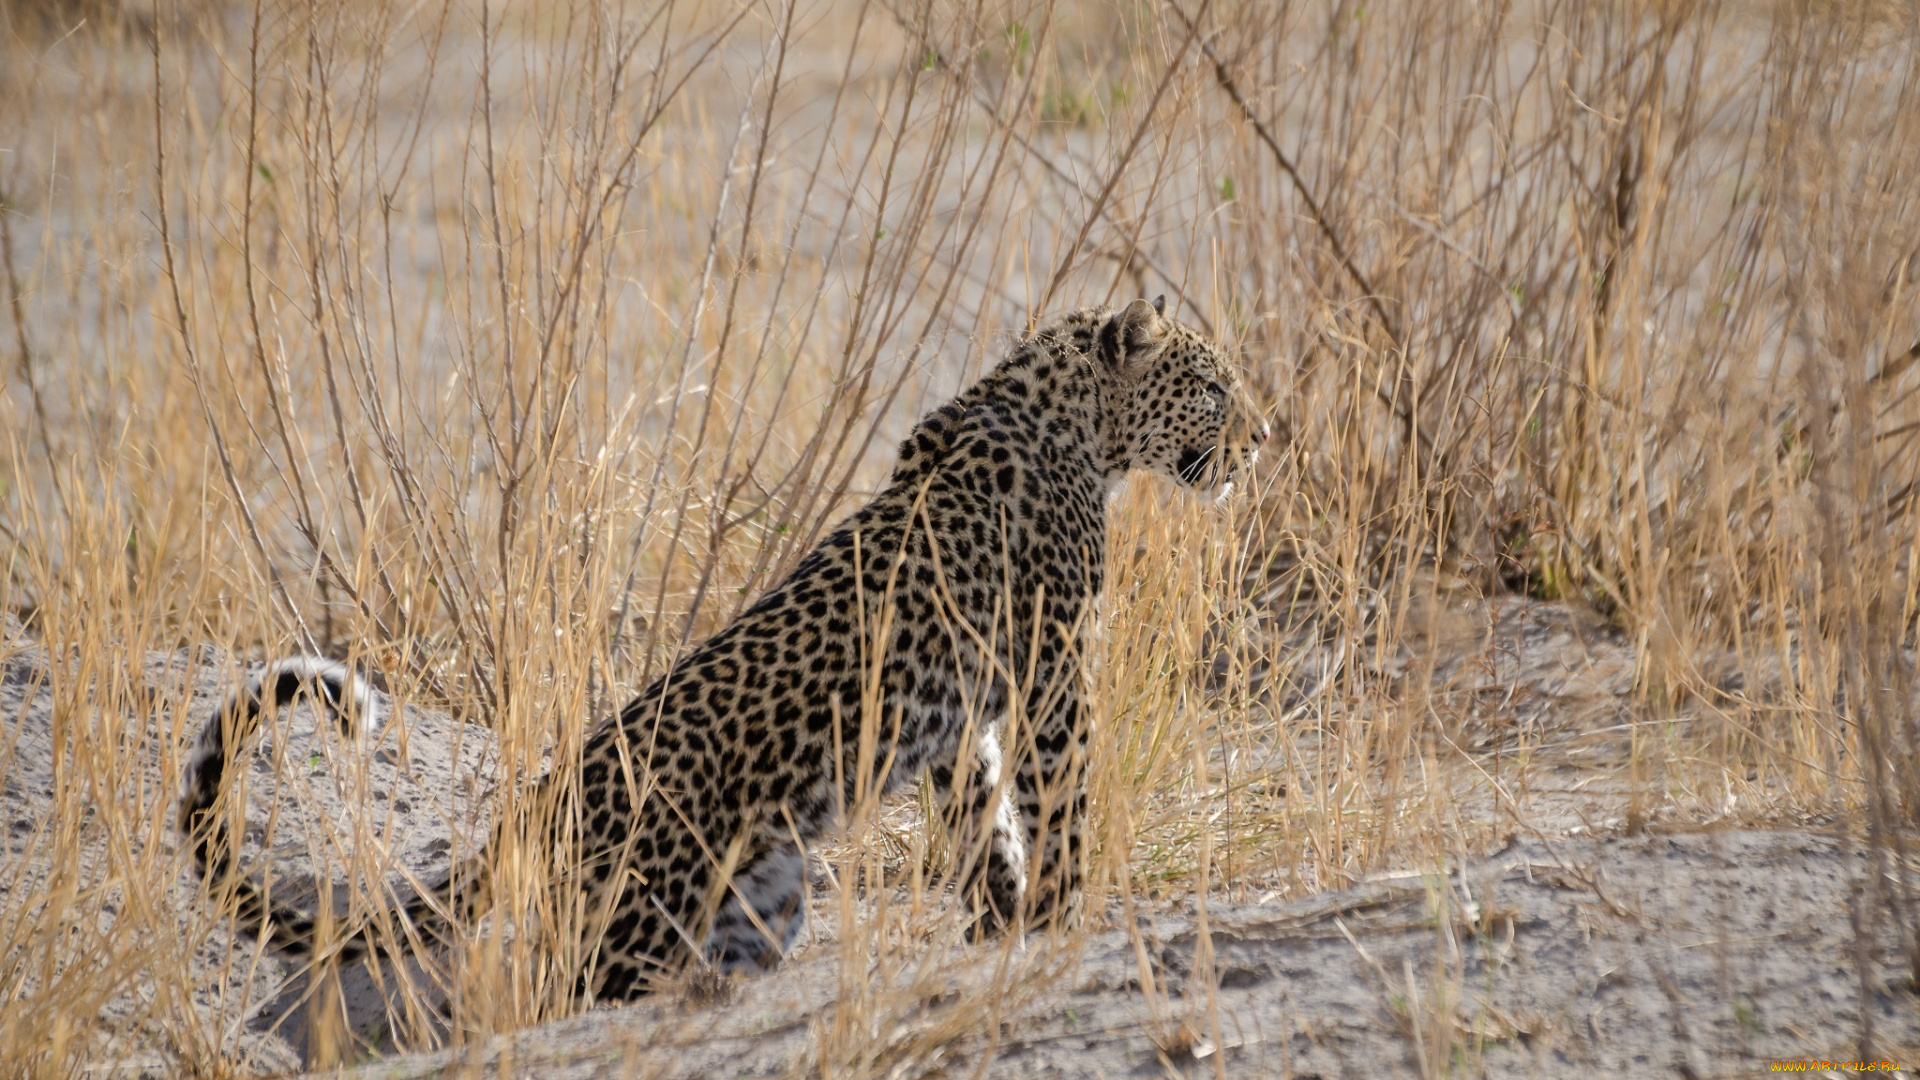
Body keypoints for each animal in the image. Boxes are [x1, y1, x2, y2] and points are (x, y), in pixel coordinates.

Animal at [176, 295, 1259, 999]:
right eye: (1212, 388)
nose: (1259, 441)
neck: (1073, 420)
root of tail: (544, 799)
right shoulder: (1053, 670)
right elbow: (1061, 803)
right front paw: (1066, 918)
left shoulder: (968, 710)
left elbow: (979, 817)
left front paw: (1002, 919)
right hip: (638, 919)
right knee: (565, 996)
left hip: (757, 900)